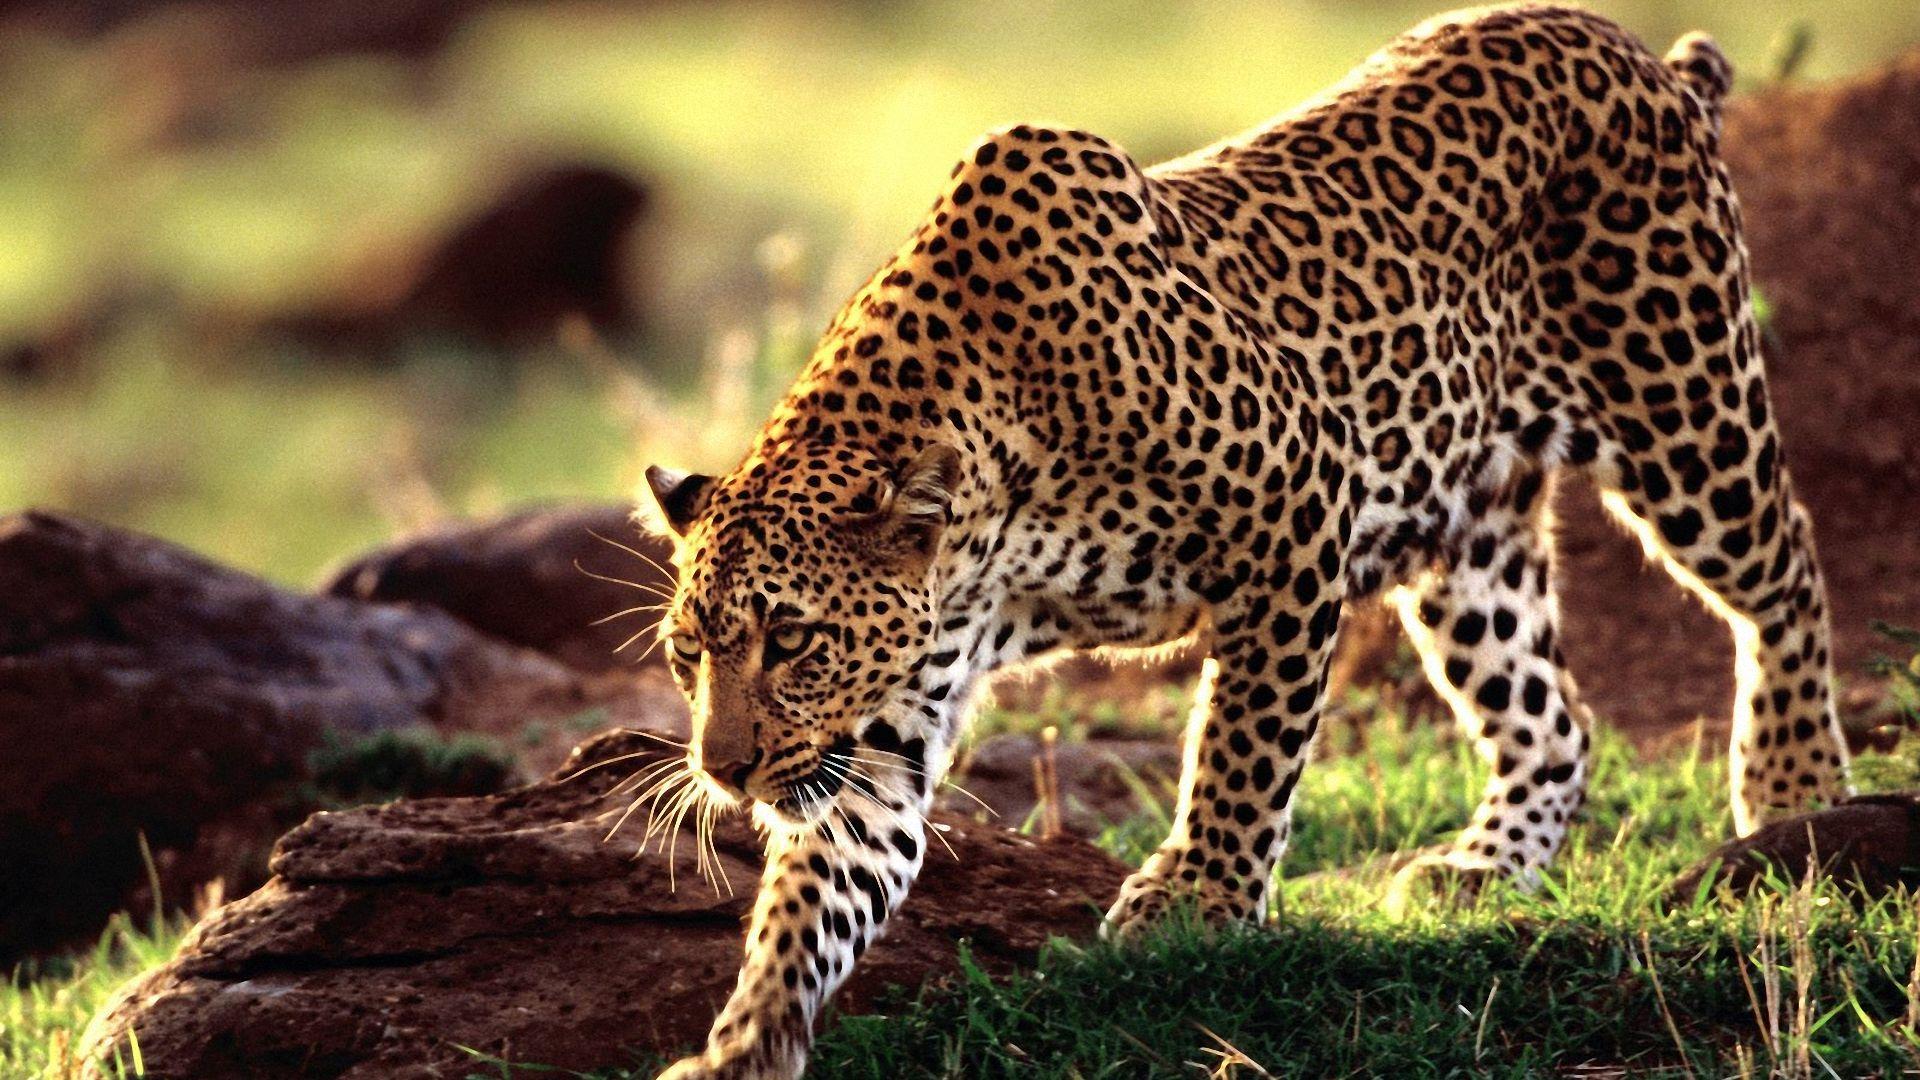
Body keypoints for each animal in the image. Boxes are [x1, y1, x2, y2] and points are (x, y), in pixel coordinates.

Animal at [640, 6, 1852, 1076]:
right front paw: (747, 1042)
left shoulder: (1298, 507)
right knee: (1553, 715)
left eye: (793, 640)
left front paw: (1201, 901)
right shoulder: (886, 723)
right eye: (689, 653)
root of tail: (1640, 53)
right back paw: (1482, 867)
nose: (724, 770)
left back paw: (1794, 792)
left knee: (1787, 570)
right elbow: (818, 895)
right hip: (1471, 533)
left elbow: (1242, 746)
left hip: (1684, 411)